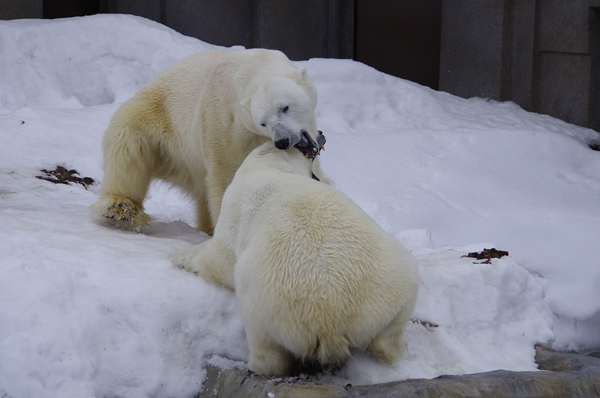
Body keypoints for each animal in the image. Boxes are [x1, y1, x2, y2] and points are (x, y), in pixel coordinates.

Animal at [91, 47, 326, 233]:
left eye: (285, 107)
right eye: (262, 122)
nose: (282, 141)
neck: (253, 66)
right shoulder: (224, 121)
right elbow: (228, 175)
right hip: (155, 124)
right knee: (128, 151)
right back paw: (120, 209)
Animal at [171, 141, 420, 376]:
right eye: (306, 152)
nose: (317, 142)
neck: (270, 168)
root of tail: (332, 318)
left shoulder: (235, 210)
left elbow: (220, 258)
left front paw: (181, 257)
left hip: (267, 306)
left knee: (266, 344)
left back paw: (255, 365)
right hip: (394, 286)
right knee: (390, 331)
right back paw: (398, 349)